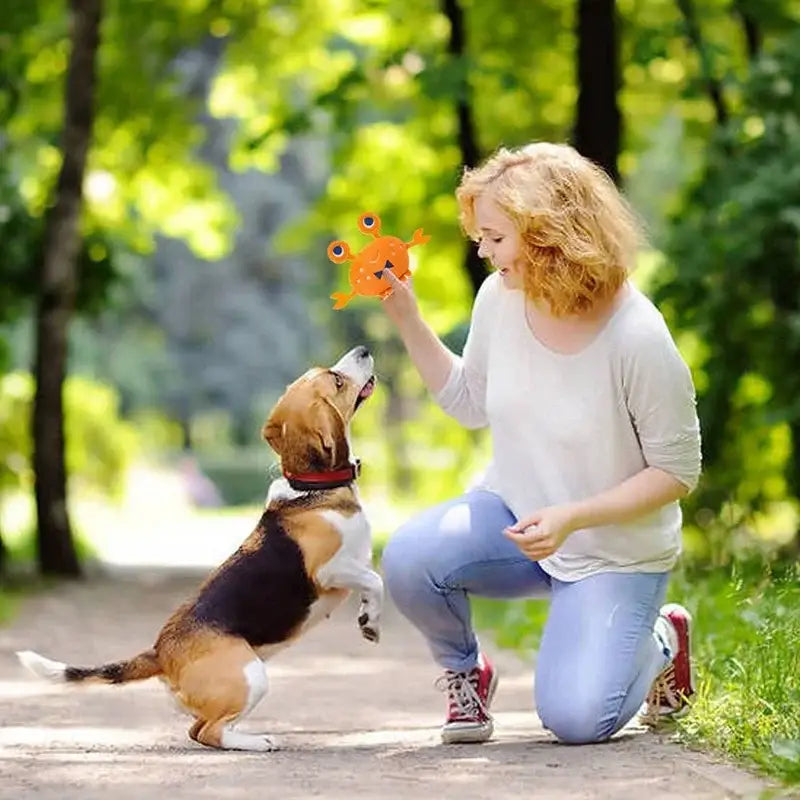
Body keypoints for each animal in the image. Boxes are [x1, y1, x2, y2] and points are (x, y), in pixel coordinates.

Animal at [16, 344, 382, 752]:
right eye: (336, 381)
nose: (364, 349)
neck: (311, 487)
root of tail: (160, 651)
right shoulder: (330, 570)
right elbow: (375, 579)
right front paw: (371, 620)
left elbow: (371, 583)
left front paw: (368, 619)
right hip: (251, 676)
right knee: (210, 731)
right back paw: (258, 742)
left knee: (198, 730)